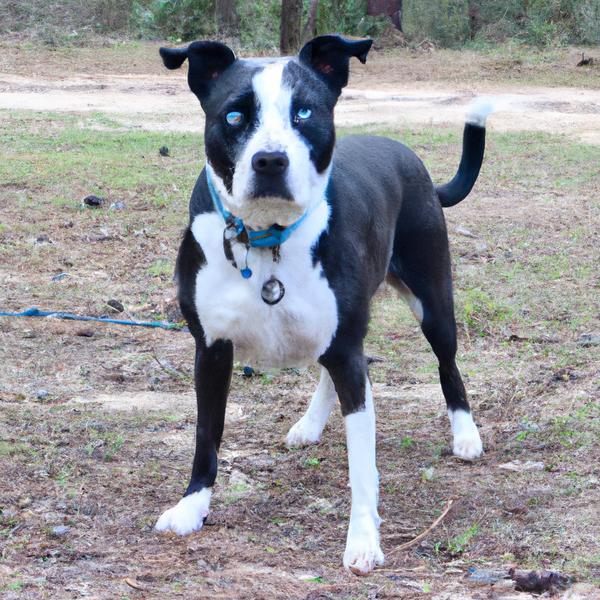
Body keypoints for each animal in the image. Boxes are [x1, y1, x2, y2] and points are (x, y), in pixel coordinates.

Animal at [155, 34, 488, 576]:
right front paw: (191, 507)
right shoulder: (211, 349)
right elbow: (207, 434)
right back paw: (310, 424)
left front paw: (363, 539)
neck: (266, 238)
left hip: (432, 299)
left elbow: (362, 464)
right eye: (234, 115)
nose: (270, 161)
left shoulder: (347, 348)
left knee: (447, 363)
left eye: (304, 112)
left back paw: (465, 433)